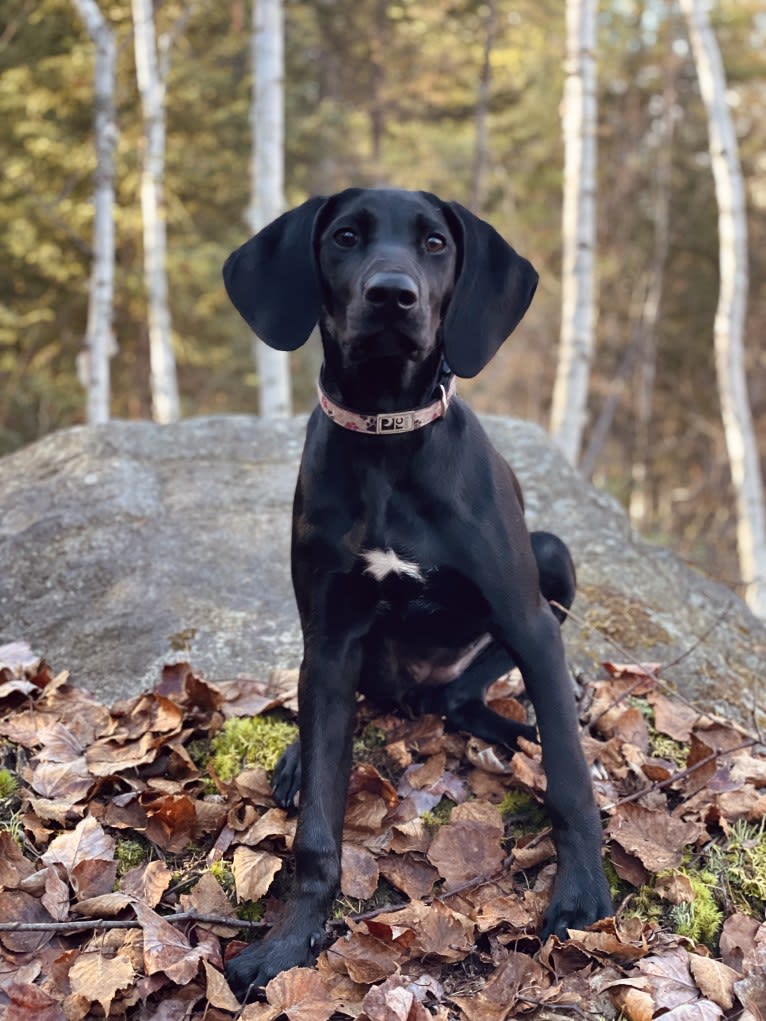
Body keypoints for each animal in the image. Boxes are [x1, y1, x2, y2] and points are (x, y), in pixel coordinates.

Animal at [220, 185, 612, 996]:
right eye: (344, 237)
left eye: (435, 243)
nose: (391, 295)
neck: (386, 436)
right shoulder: (331, 637)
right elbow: (316, 834)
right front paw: (289, 942)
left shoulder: (530, 621)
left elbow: (570, 783)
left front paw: (582, 897)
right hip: (335, 662)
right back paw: (299, 758)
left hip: (548, 559)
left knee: (461, 695)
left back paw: (508, 729)